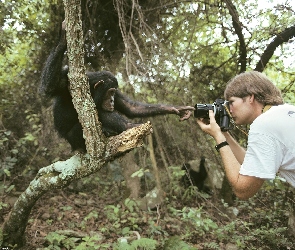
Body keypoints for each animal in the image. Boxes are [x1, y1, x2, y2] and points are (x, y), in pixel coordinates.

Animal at [40, 23, 195, 152]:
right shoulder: (66, 84)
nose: (112, 100)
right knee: (99, 114)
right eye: (109, 93)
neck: (91, 89)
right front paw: (62, 38)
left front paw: (177, 109)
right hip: (76, 139)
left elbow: (131, 107)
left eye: (114, 93)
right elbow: (49, 86)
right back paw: (128, 127)